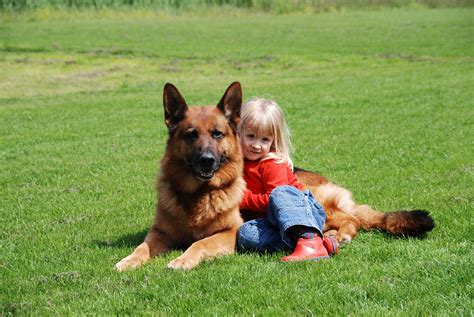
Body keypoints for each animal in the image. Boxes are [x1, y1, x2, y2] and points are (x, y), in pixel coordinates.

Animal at [115, 82, 244, 272]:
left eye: (217, 133)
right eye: (191, 134)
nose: (207, 160)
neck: (198, 194)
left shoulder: (231, 231)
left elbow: (200, 243)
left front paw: (183, 260)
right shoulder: (159, 232)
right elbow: (142, 247)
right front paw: (129, 260)